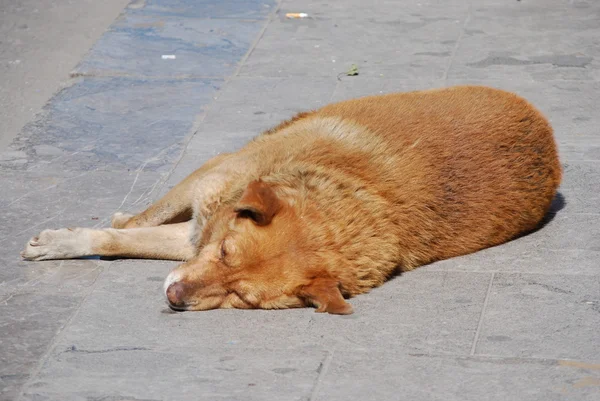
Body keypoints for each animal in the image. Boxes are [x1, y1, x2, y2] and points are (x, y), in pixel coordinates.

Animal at [19, 86, 564, 314]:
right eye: (224, 254)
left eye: (241, 298)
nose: (174, 298)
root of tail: (546, 129)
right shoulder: (209, 188)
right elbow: (125, 231)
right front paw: (65, 241)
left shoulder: (194, 234)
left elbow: (125, 238)